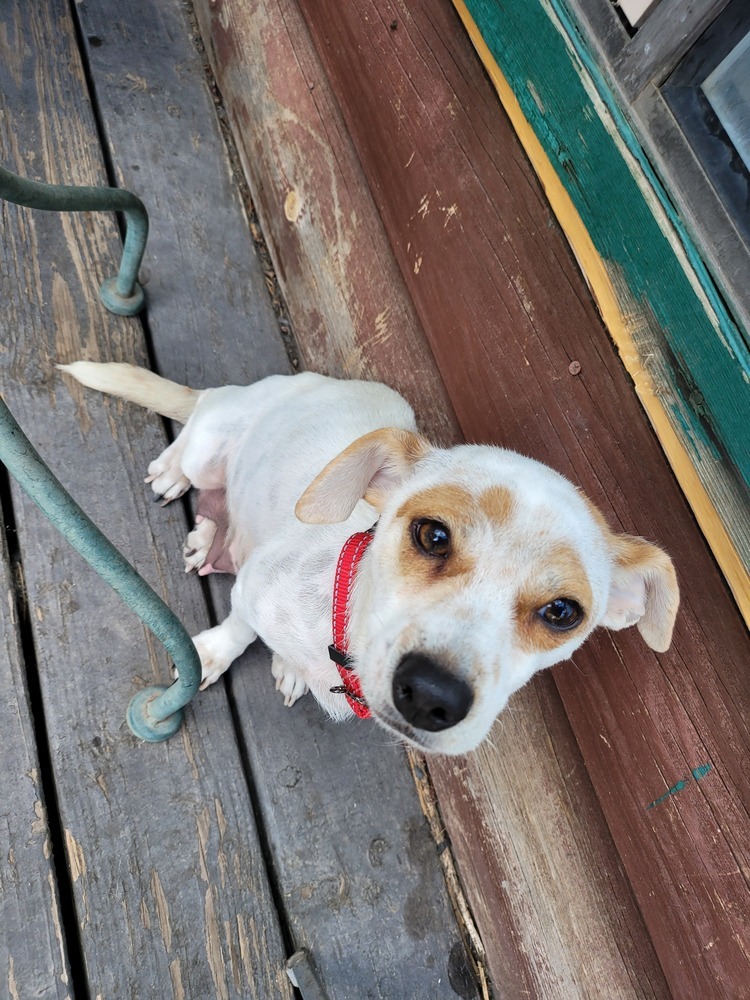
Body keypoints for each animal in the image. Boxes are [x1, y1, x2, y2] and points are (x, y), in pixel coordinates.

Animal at [60, 364, 680, 752]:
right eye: (432, 535)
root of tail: (290, 383)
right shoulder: (257, 586)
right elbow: (239, 624)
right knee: (195, 432)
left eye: (562, 613)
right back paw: (174, 471)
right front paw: (210, 654)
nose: (432, 696)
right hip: (211, 439)